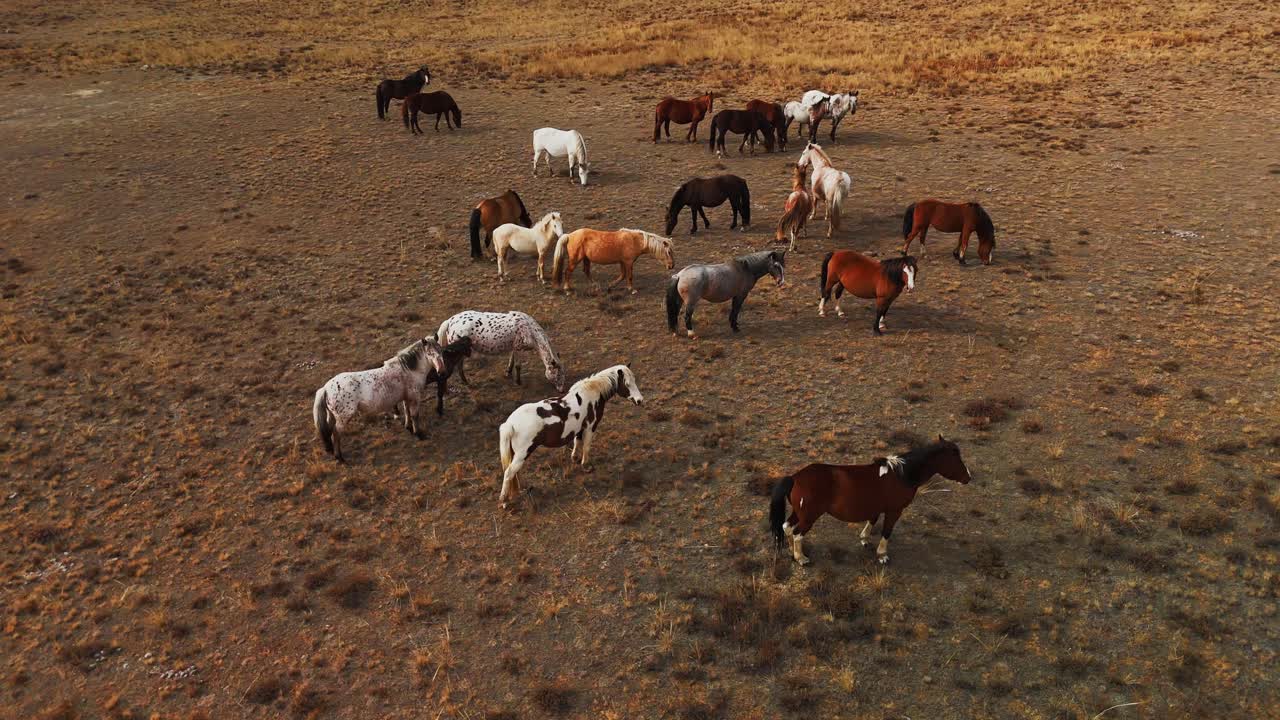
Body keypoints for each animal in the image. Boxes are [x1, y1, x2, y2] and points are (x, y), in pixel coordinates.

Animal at [312, 338, 442, 462]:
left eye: (440, 351)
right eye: (430, 353)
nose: (441, 371)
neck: (409, 370)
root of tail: (326, 388)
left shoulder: (406, 397)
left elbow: (407, 412)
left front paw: (408, 427)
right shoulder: (415, 397)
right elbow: (415, 415)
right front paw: (419, 434)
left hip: (332, 416)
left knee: (330, 431)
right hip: (343, 418)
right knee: (336, 434)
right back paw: (340, 457)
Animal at [435, 310, 567, 391]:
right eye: (558, 373)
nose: (562, 390)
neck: (529, 330)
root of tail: (449, 321)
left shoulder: (514, 348)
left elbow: (511, 361)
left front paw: (508, 373)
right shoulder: (519, 349)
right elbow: (518, 366)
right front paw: (518, 382)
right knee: (459, 366)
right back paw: (466, 382)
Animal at [498, 365, 644, 508]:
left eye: (634, 381)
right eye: (627, 384)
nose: (640, 400)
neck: (591, 394)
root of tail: (510, 423)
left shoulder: (579, 429)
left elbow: (577, 442)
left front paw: (574, 458)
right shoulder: (590, 428)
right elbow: (586, 447)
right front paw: (586, 466)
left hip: (516, 454)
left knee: (515, 473)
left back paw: (522, 488)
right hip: (522, 454)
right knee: (509, 473)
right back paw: (504, 501)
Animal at [769, 436, 972, 565]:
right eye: (955, 458)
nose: (968, 478)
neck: (901, 475)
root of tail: (795, 477)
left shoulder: (876, 507)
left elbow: (872, 521)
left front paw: (865, 540)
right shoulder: (894, 511)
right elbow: (886, 531)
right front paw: (882, 555)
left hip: (799, 513)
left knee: (786, 527)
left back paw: (792, 553)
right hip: (809, 516)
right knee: (797, 533)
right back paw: (801, 559)